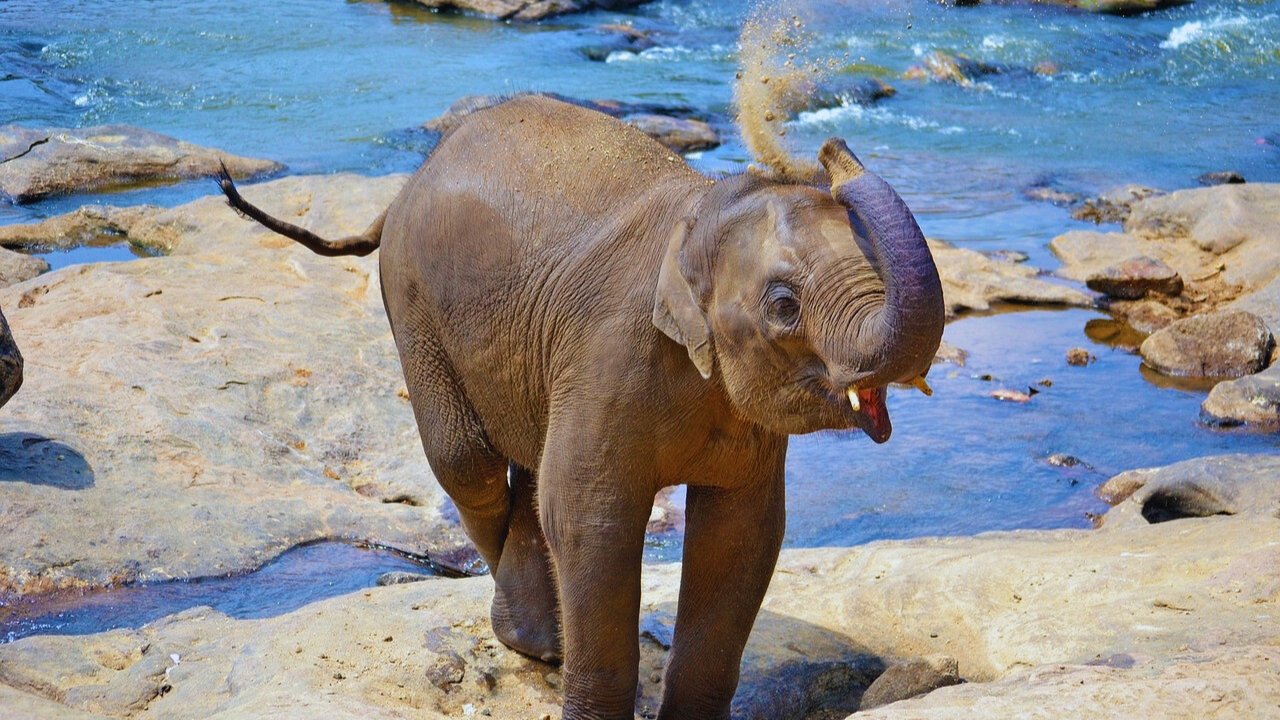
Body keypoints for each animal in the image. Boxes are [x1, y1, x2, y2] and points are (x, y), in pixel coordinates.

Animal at [219, 94, 944, 720]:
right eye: (784, 305)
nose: (830, 148)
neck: (700, 212)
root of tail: (406, 186)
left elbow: (741, 532)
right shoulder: (610, 352)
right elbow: (591, 519)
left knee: (526, 465)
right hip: (414, 307)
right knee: (468, 465)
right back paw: (534, 640)